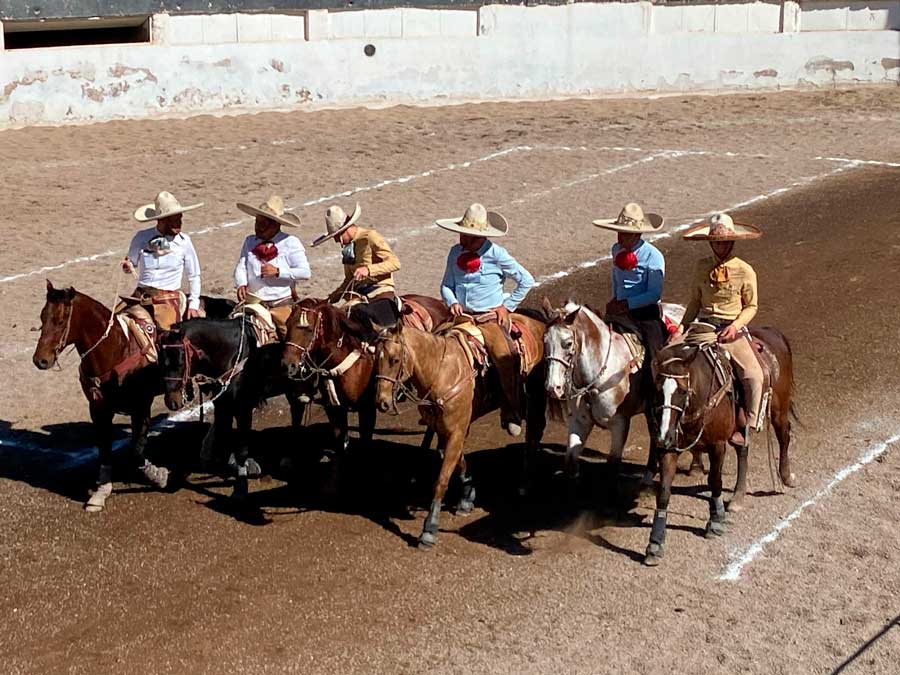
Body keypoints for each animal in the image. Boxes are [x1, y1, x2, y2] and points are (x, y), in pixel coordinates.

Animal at [32, 282, 232, 512]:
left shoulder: (141, 407)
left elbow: (136, 452)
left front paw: (160, 476)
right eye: (42, 316)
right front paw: (101, 493)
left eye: (60, 320)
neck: (116, 350)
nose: (40, 360)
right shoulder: (98, 409)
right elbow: (104, 448)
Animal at [374, 316, 548, 548]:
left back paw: (525, 481)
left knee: (534, 434)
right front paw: (467, 497)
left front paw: (429, 529)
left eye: (394, 359)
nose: (382, 402)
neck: (441, 373)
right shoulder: (444, 430)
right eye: (375, 358)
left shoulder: (456, 431)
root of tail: (540, 324)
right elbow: (458, 461)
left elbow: (441, 480)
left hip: (535, 400)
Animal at [540, 302, 684, 492]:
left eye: (568, 343)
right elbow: (570, 461)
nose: (552, 387)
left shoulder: (619, 423)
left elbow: (612, 464)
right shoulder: (580, 421)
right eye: (545, 341)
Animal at [644, 326, 800, 564]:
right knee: (743, 449)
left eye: (683, 391)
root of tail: (773, 333)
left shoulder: (717, 445)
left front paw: (715, 521)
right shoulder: (670, 449)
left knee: (784, 435)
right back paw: (738, 496)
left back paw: (785, 476)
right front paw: (655, 542)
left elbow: (715, 481)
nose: (662, 437)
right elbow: (663, 492)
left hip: (778, 408)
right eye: (657, 390)